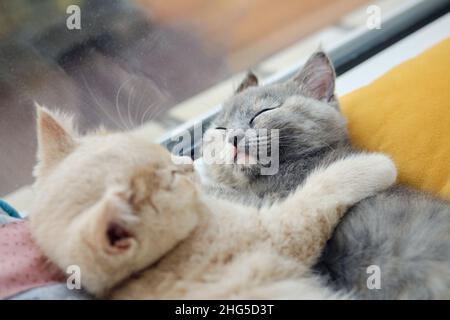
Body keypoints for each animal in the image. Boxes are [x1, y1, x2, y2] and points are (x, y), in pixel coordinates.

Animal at [28, 106, 396, 298]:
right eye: (171, 179)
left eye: (162, 151)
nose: (188, 163)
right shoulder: (279, 232)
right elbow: (320, 191)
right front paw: (376, 165)